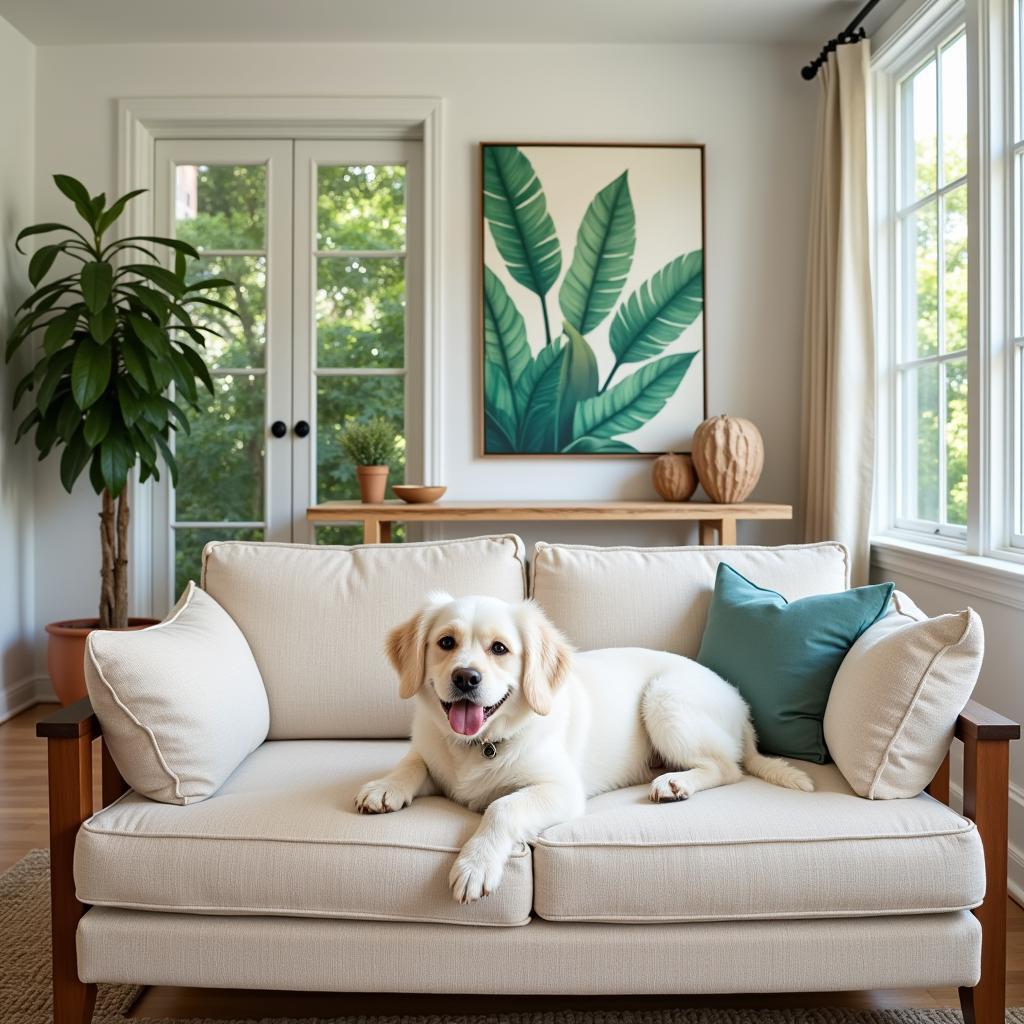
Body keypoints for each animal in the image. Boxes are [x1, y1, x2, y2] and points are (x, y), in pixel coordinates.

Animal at [356, 593, 811, 905]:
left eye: (499, 649)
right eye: (446, 643)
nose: (466, 677)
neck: (479, 744)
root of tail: (740, 701)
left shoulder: (560, 789)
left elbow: (501, 807)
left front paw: (476, 864)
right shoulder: (431, 750)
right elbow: (413, 763)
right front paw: (384, 786)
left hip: (664, 698)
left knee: (728, 768)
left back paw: (676, 783)